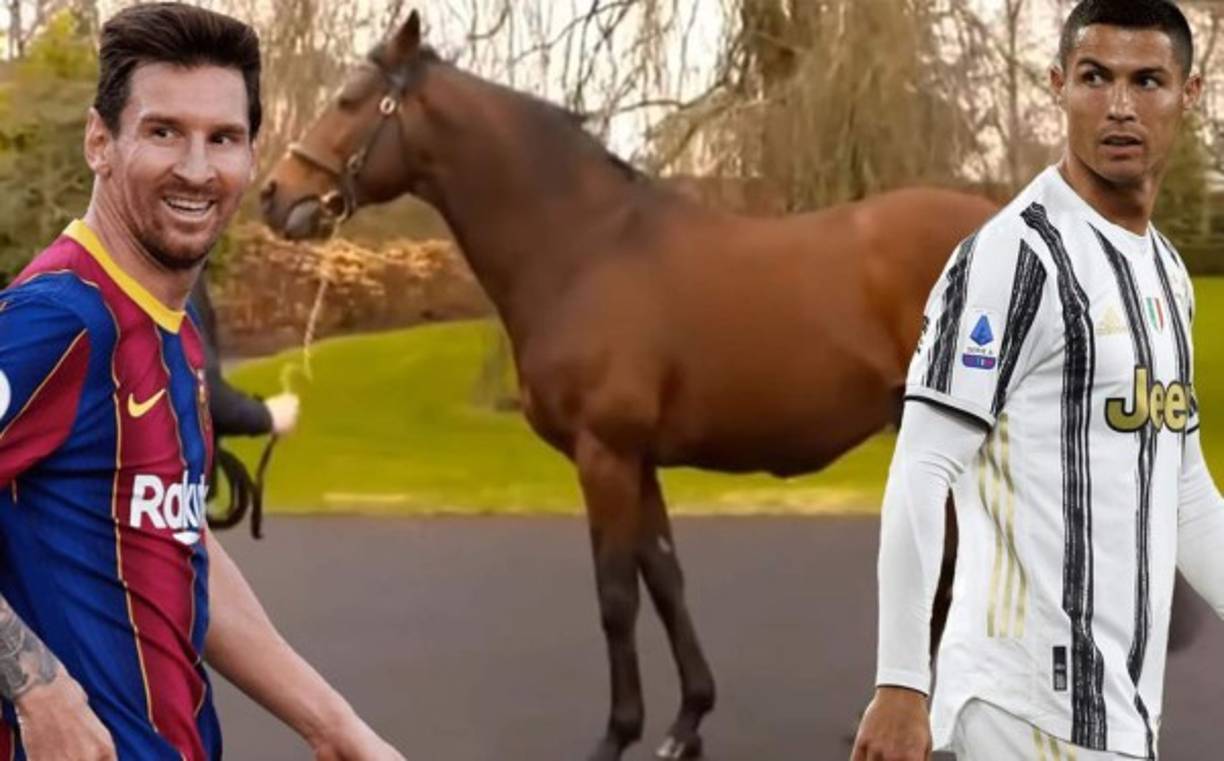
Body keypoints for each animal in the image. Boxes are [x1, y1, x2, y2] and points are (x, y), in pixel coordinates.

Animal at [259, 11, 997, 761]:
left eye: (350, 99)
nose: (274, 194)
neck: (583, 249)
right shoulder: (637, 460)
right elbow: (665, 580)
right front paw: (686, 722)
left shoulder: (604, 453)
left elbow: (616, 597)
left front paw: (617, 734)